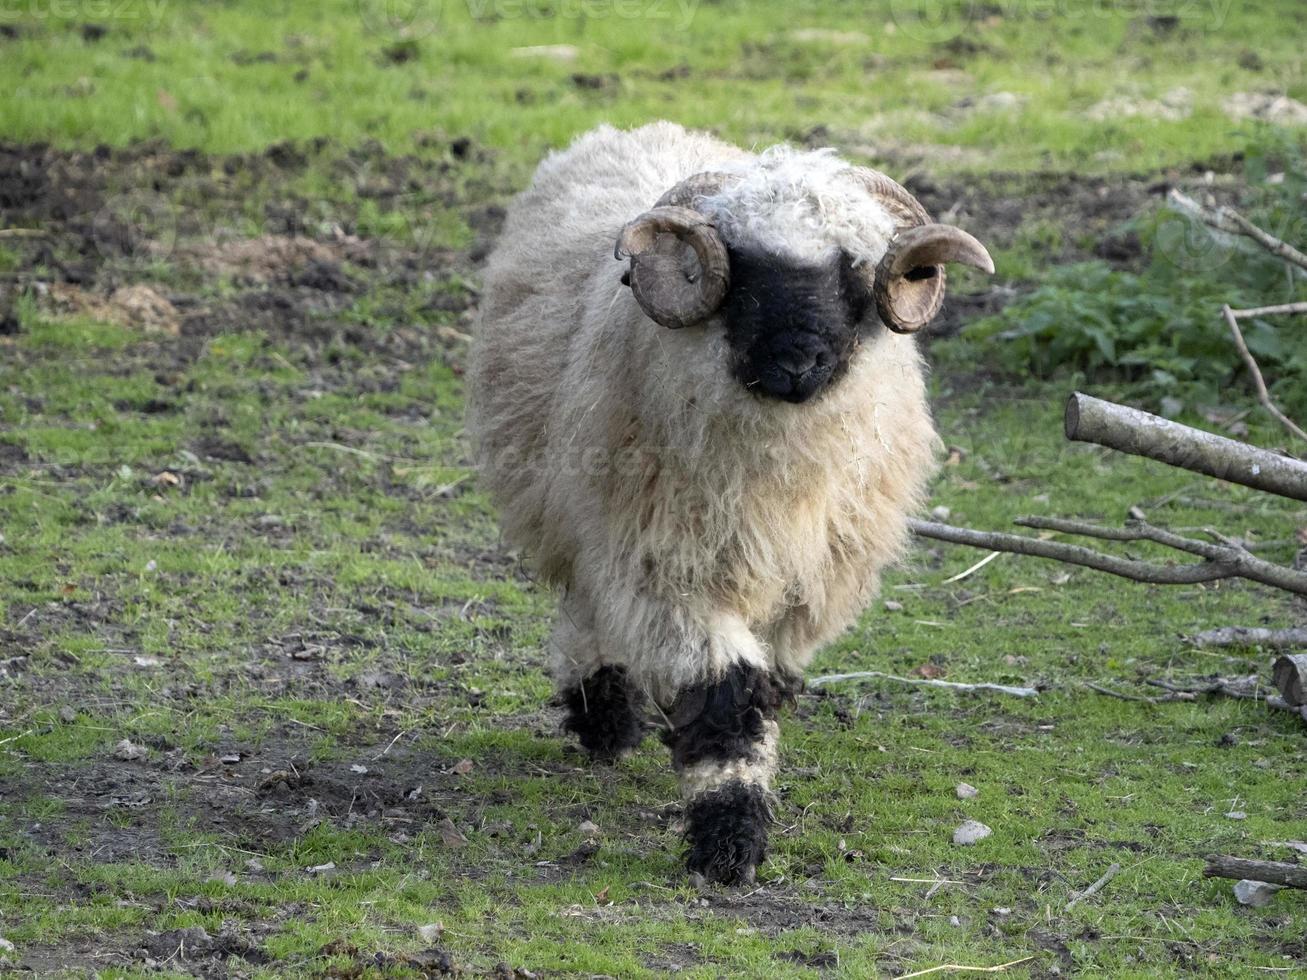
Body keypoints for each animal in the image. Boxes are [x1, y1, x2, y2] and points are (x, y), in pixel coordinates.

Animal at [470, 118, 988, 888]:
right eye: (742, 272)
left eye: (855, 273)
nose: (798, 362)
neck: (774, 476)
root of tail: (640, 128)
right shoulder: (668, 568)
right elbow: (724, 698)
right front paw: (728, 841)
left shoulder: (807, 584)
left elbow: (764, 680)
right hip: (579, 509)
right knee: (587, 601)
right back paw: (603, 715)